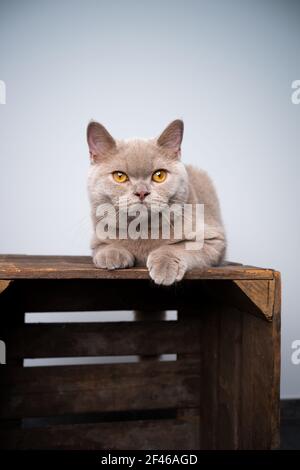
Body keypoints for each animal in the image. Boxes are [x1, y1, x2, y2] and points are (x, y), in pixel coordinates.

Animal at [86, 119, 225, 284]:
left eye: (159, 175)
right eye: (119, 176)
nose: (141, 192)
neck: (142, 230)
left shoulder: (213, 239)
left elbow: (176, 247)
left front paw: (165, 266)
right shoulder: (97, 238)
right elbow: (105, 245)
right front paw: (112, 255)